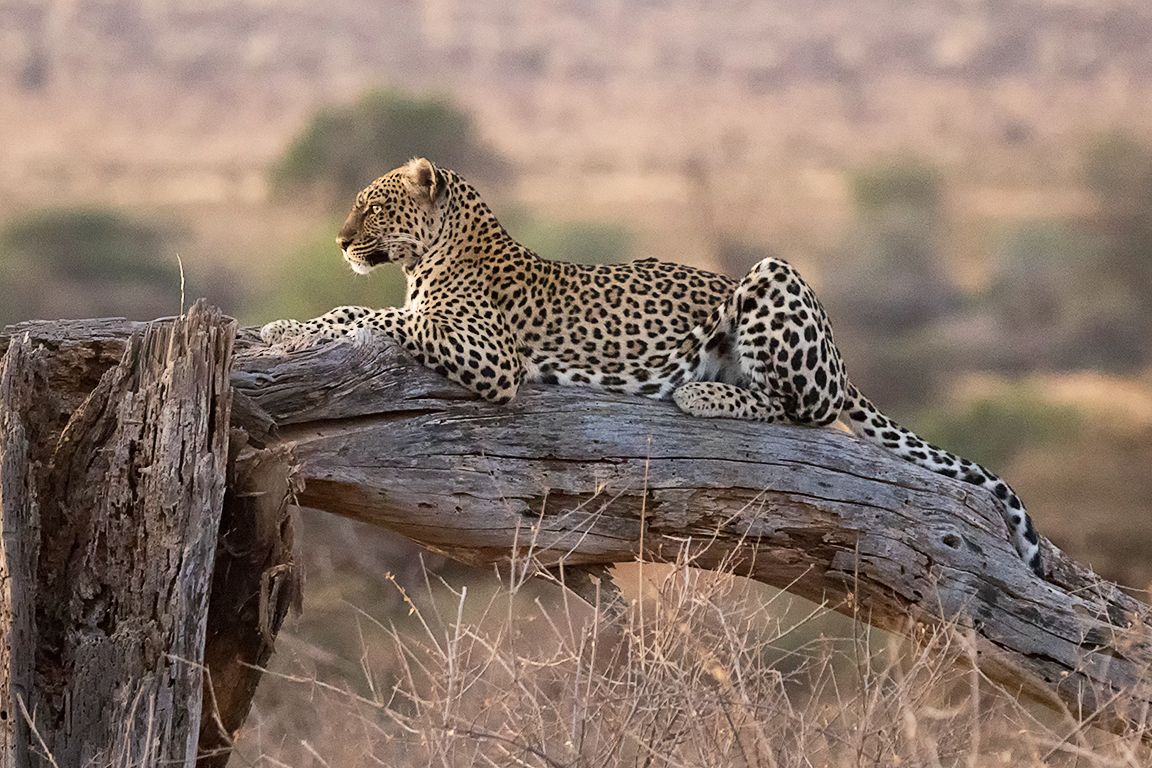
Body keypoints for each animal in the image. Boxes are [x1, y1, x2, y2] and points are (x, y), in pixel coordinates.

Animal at [261, 157, 1044, 576]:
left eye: (371, 206)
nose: (339, 240)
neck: (436, 253)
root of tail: (843, 366)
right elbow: (362, 314)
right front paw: (286, 325)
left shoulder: (489, 356)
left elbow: (383, 318)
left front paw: (302, 322)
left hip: (771, 275)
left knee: (804, 411)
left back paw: (701, 393)